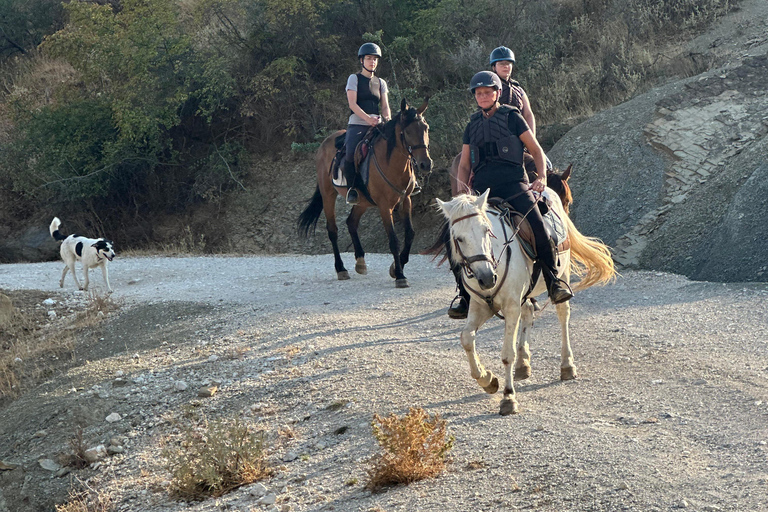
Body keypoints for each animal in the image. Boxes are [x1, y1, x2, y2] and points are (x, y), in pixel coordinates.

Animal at [298, 99, 432, 288]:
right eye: (407, 131)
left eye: (426, 128)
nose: (425, 164)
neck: (392, 163)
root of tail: (325, 143)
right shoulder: (384, 206)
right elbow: (393, 240)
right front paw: (399, 275)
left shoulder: (406, 201)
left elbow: (410, 234)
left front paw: (396, 267)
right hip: (328, 195)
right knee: (332, 230)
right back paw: (341, 269)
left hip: (362, 201)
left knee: (351, 222)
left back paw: (360, 262)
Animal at [436, 189, 616, 415]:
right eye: (459, 238)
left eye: (487, 230)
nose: (487, 278)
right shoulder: (480, 306)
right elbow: (467, 338)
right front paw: (487, 380)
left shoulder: (510, 307)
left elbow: (507, 354)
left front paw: (508, 397)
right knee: (529, 312)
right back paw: (523, 364)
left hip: (561, 275)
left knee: (563, 315)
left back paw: (567, 366)